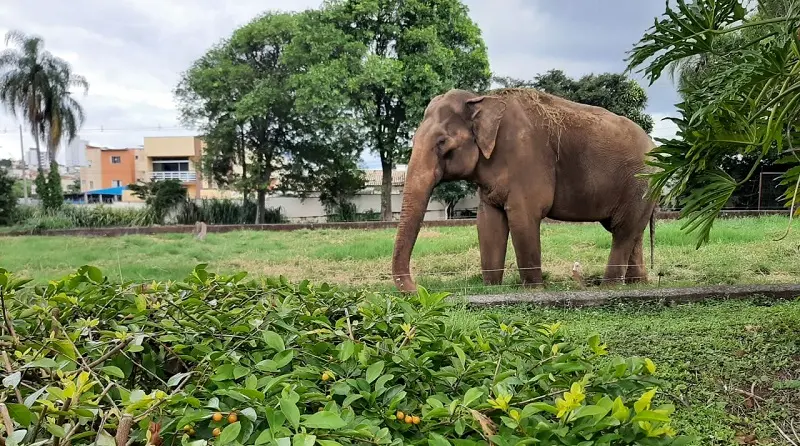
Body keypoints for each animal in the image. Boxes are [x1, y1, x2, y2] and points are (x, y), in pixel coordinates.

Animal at [391, 87, 658, 293]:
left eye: (442, 142)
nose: (419, 289)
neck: (482, 99)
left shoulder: (526, 159)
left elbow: (523, 217)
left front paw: (534, 289)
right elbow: (488, 222)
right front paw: (491, 288)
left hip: (639, 183)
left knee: (623, 231)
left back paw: (609, 286)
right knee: (631, 231)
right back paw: (637, 283)